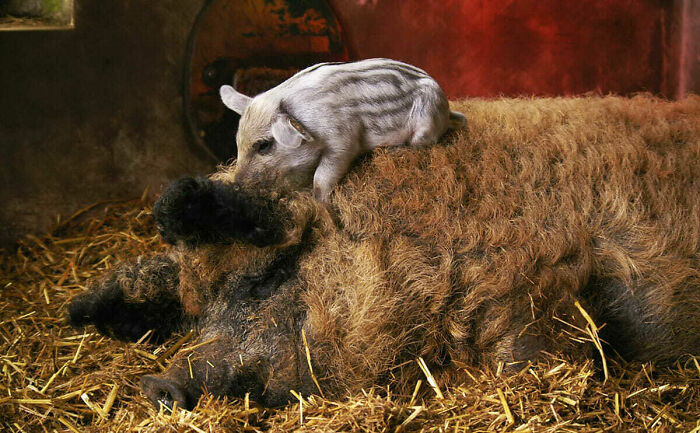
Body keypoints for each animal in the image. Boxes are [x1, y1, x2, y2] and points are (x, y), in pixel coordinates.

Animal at [219, 58, 467, 201]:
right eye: (237, 142)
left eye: (263, 145)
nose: (236, 183)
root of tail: (446, 110)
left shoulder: (342, 139)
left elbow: (322, 178)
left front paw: (321, 202)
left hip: (426, 124)